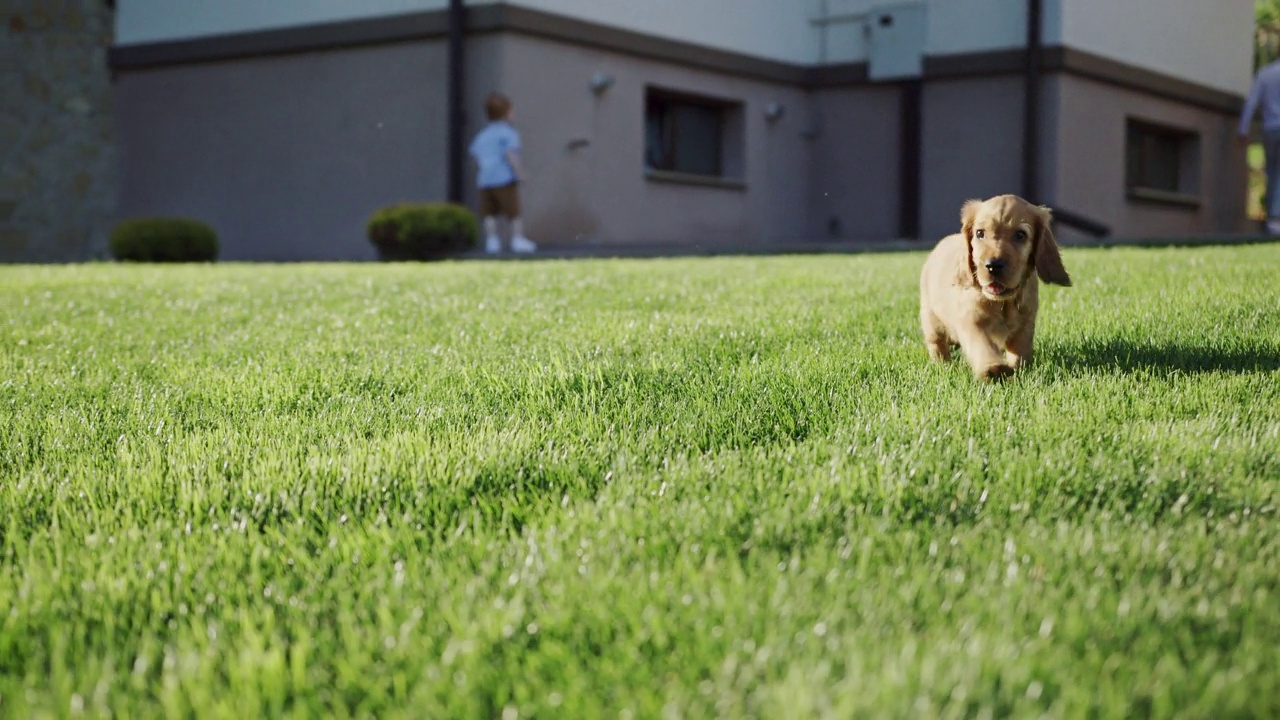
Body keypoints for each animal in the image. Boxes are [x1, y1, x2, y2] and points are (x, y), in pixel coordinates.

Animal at [921, 190, 1070, 381]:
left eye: (1020, 235)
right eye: (979, 233)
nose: (993, 266)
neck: (1002, 303)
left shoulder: (1026, 323)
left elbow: (1020, 351)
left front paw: (1019, 371)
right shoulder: (970, 319)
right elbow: (982, 345)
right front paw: (994, 368)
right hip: (930, 319)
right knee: (937, 345)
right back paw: (943, 365)